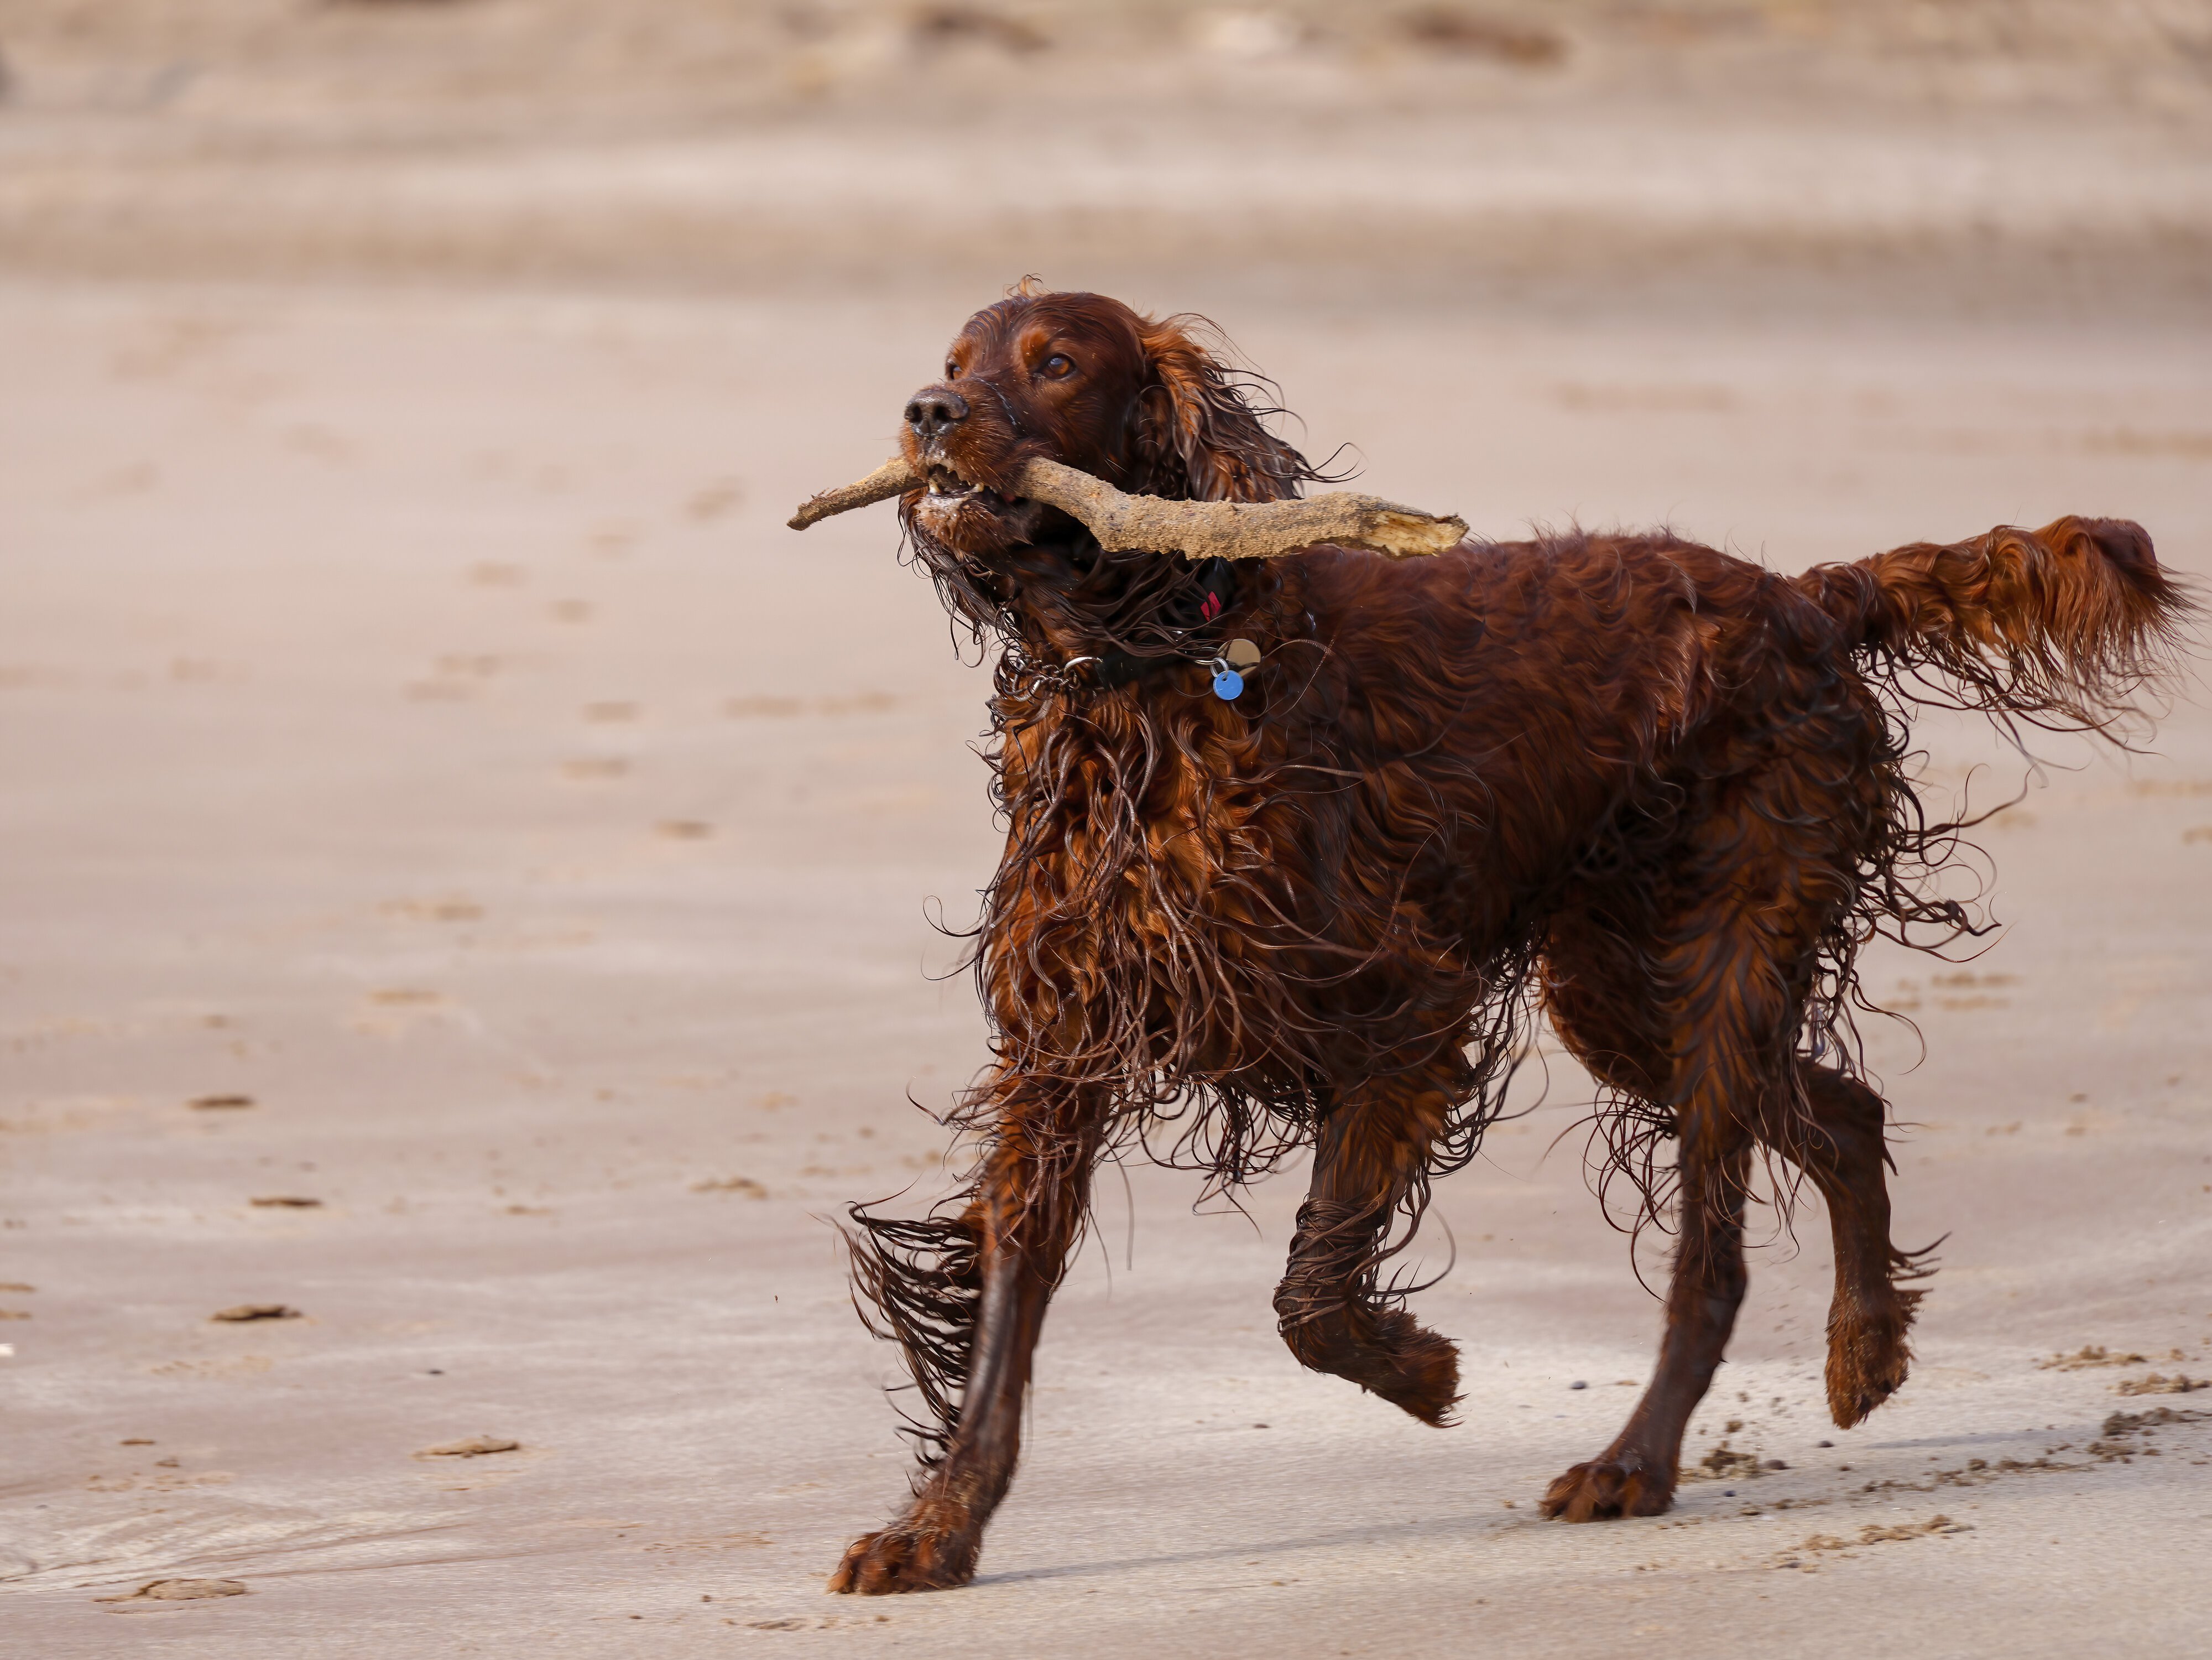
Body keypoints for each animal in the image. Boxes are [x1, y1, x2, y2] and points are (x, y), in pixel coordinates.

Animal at [818, 283, 2194, 1602]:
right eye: (954, 356)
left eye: (1055, 363)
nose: (929, 412)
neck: (1157, 672)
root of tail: (1803, 596)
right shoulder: (1060, 1051)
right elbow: (1007, 1317)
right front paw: (933, 1534)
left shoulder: (1404, 1011)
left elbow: (1309, 1290)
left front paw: (1419, 1371)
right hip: (1621, 989)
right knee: (1843, 1114)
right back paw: (1862, 1353)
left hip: (1723, 956)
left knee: (1714, 1255)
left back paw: (1633, 1462)